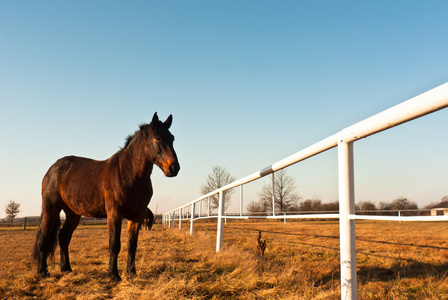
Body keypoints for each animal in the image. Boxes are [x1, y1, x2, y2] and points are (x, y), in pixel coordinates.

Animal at [32, 113, 179, 282]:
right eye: (157, 138)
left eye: (172, 138)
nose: (174, 168)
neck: (128, 173)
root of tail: (52, 169)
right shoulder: (114, 213)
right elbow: (114, 244)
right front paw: (113, 274)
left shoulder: (137, 216)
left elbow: (132, 245)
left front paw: (131, 272)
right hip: (51, 209)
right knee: (43, 238)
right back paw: (43, 272)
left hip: (73, 214)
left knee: (63, 238)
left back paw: (66, 269)